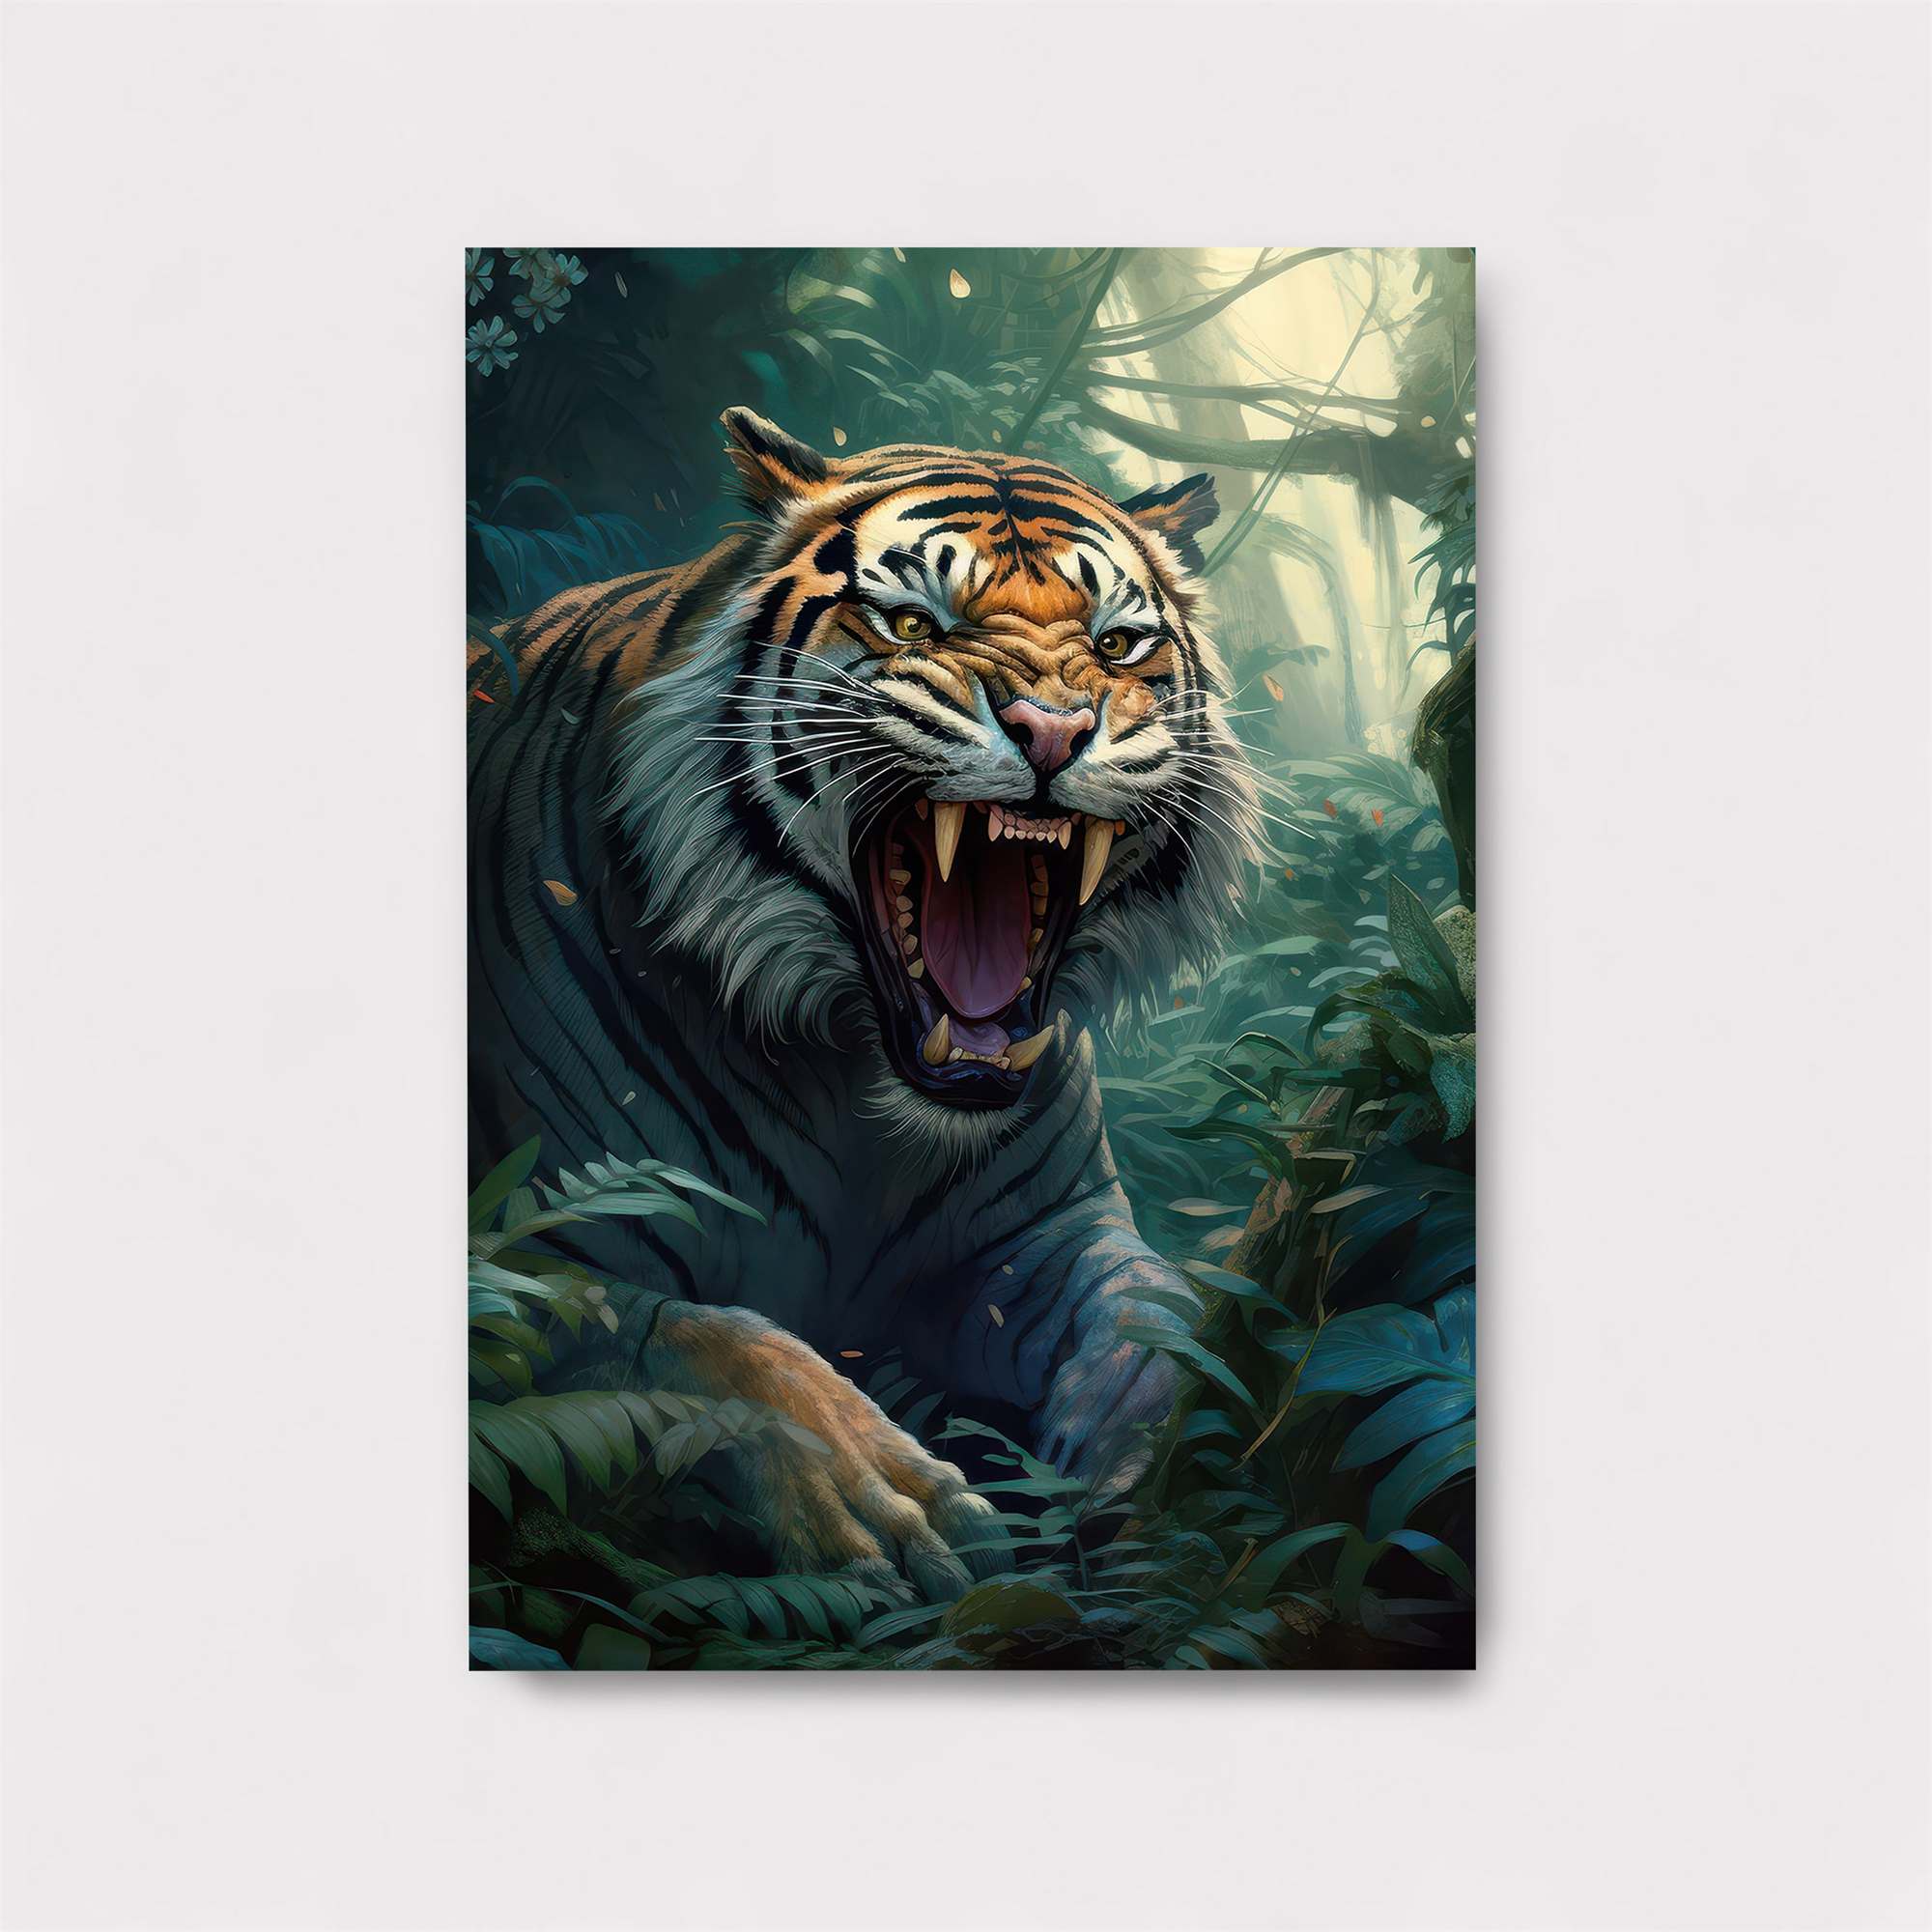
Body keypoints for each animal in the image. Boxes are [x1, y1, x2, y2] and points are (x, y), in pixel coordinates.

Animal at [469, 408, 1262, 1600]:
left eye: (1118, 646)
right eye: (910, 622)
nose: (1051, 729)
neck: (860, 1101)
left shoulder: (1047, 1228)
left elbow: (1156, 1310)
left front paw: (1145, 1461)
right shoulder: (527, 1247)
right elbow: (705, 1339)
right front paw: (888, 1505)